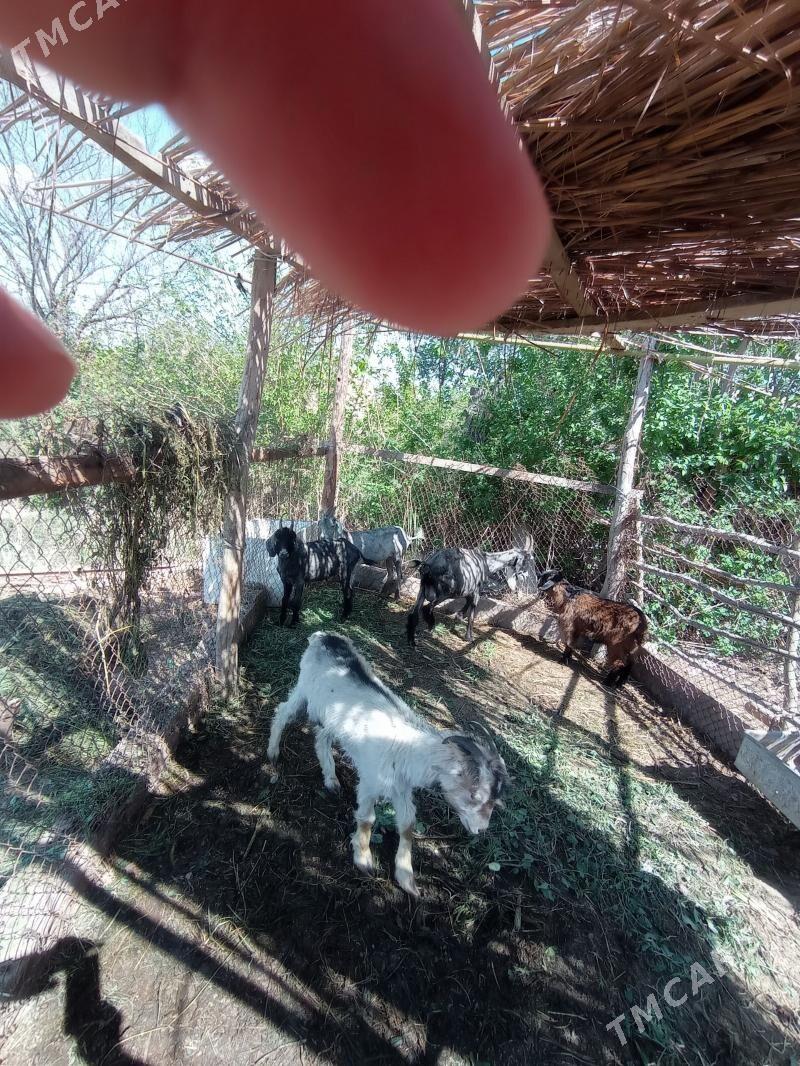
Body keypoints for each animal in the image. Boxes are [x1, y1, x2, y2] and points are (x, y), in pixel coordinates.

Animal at [267, 631, 508, 897]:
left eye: (495, 799)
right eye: (475, 795)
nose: (481, 830)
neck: (407, 748)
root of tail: (323, 636)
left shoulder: (401, 788)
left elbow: (407, 824)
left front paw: (406, 878)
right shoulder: (371, 781)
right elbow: (367, 818)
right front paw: (363, 860)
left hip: (330, 715)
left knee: (322, 738)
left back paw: (331, 780)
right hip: (304, 690)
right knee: (283, 712)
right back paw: (273, 753)